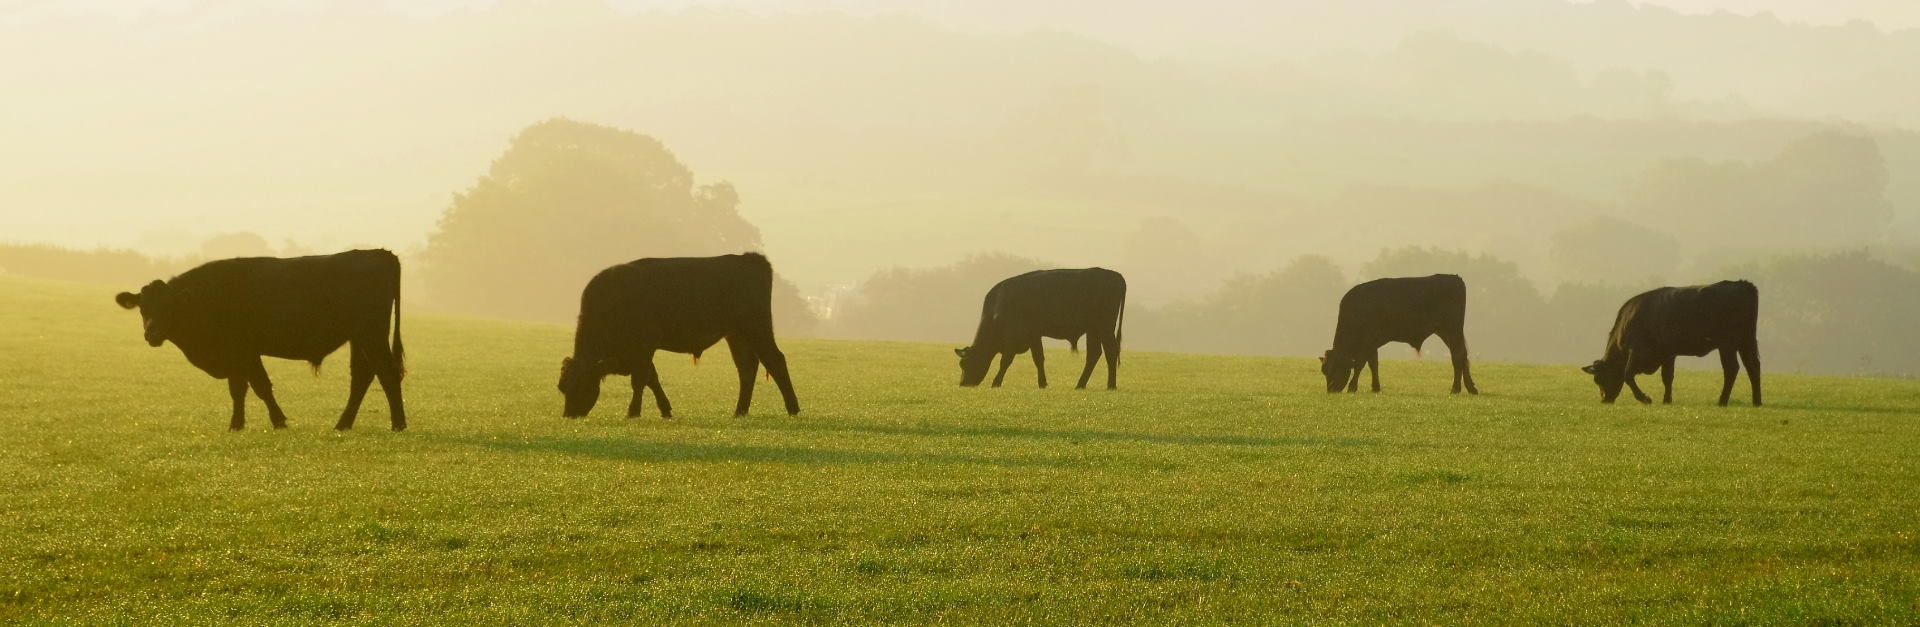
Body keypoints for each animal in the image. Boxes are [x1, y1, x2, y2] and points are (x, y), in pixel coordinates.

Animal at [113, 251, 408, 433]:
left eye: (169, 308)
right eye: (143, 308)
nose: (151, 333)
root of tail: (379, 253)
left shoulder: (239, 350)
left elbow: (250, 388)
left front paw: (254, 424)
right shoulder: (247, 354)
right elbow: (250, 388)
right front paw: (257, 423)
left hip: (372, 335)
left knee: (388, 374)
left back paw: (398, 425)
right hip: (360, 339)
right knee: (362, 376)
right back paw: (342, 425)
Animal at [560, 253, 798, 419]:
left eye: (579, 384)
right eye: (562, 387)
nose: (569, 414)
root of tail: (749, 258)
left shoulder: (644, 346)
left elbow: (640, 380)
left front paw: (633, 412)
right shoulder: (638, 353)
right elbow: (652, 378)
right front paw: (665, 410)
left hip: (757, 329)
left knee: (775, 361)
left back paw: (793, 409)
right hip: (737, 335)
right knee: (747, 368)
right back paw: (740, 411)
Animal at [956, 268, 1121, 391]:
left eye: (965, 363)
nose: (963, 384)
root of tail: (1114, 275)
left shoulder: (1012, 338)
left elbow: (1005, 361)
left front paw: (996, 382)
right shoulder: (1034, 335)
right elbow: (1038, 359)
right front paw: (1042, 383)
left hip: (1105, 329)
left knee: (1111, 352)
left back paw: (1110, 385)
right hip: (1094, 331)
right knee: (1094, 354)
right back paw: (1081, 384)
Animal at [1313, 274, 1474, 394]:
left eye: (1335, 368)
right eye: (1324, 371)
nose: (1331, 390)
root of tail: (1455, 278)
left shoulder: (1368, 342)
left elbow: (1360, 364)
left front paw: (1352, 387)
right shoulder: (1372, 344)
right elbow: (1373, 364)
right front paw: (1375, 387)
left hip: (1452, 330)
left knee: (1458, 356)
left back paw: (1456, 389)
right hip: (1448, 332)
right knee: (1462, 356)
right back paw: (1470, 388)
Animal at [1582, 279, 1758, 408]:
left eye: (1598, 379)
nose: (1604, 400)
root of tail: (1741, 283)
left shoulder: (1637, 351)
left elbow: (1628, 374)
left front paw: (1645, 398)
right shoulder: (1668, 354)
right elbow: (1667, 377)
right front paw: (1667, 400)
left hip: (1727, 345)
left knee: (1732, 369)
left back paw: (1722, 401)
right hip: (1747, 341)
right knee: (1752, 366)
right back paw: (1757, 401)